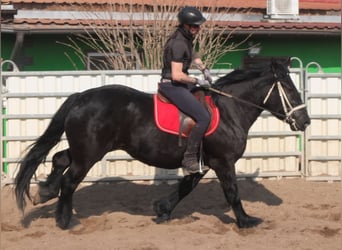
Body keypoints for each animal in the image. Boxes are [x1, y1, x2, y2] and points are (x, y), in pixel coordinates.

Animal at [14, 57, 312, 229]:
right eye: (289, 88)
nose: (305, 121)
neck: (229, 111)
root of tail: (80, 97)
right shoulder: (223, 162)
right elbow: (232, 192)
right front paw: (246, 221)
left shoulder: (202, 162)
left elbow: (186, 186)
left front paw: (162, 209)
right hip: (89, 154)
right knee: (69, 180)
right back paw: (65, 221)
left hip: (84, 149)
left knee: (59, 159)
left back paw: (45, 192)